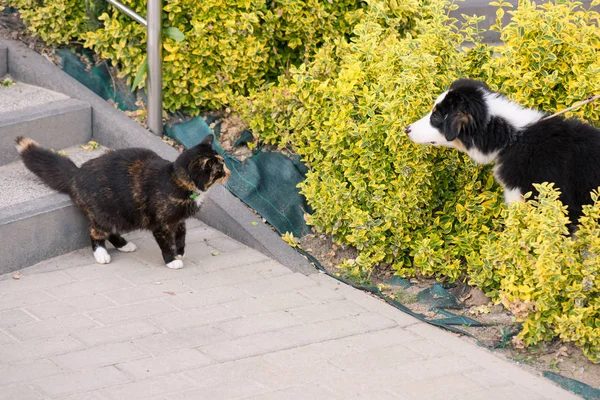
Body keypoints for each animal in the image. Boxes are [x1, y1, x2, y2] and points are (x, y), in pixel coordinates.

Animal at [17, 134, 230, 268]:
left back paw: (124, 245)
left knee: (111, 232)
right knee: (95, 232)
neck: (177, 181)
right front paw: (172, 260)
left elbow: (181, 235)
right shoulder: (160, 224)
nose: (228, 172)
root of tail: (75, 174)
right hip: (107, 212)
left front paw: (179, 251)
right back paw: (101, 254)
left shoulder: (178, 220)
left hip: (122, 216)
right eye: (219, 169)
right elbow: (165, 242)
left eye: (223, 164)